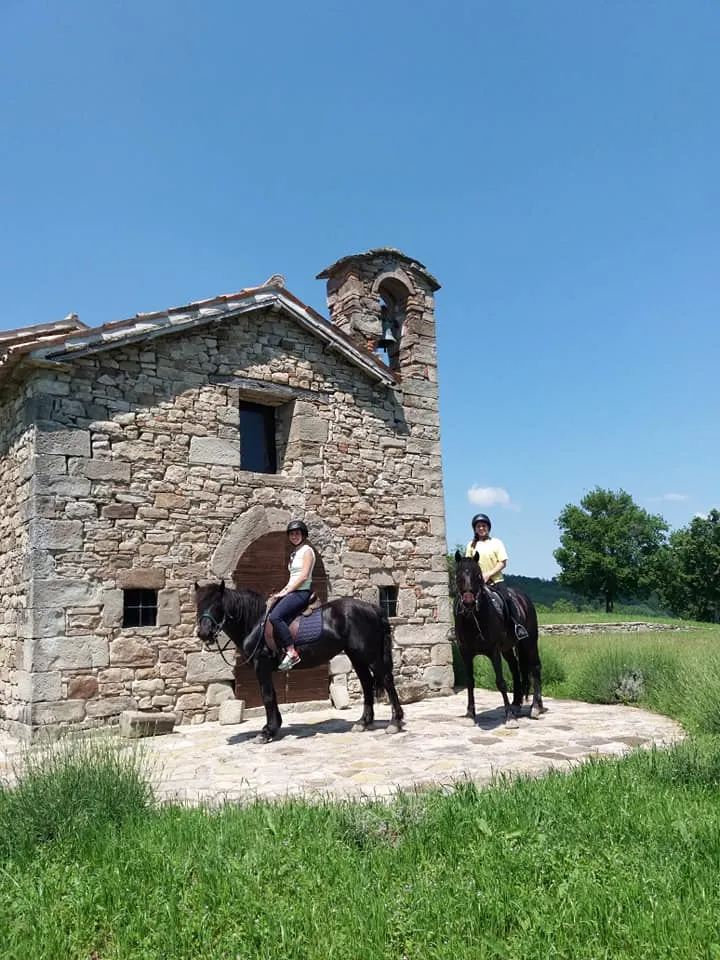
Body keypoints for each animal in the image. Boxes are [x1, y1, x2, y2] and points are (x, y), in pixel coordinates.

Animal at [194, 580, 404, 743]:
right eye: (198, 604)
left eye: (217, 604)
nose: (204, 633)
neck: (255, 623)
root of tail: (374, 609)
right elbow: (273, 696)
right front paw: (274, 727)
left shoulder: (261, 666)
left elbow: (267, 696)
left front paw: (267, 732)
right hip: (357, 656)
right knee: (367, 683)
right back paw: (363, 722)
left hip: (370, 655)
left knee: (387, 680)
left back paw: (395, 723)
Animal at [453, 552, 544, 725]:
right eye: (458, 575)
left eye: (478, 575)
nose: (468, 602)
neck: (474, 618)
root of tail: (523, 597)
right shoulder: (465, 652)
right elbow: (470, 681)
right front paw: (470, 714)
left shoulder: (494, 650)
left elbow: (500, 681)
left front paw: (509, 717)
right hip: (508, 648)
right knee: (515, 669)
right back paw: (516, 705)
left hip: (529, 643)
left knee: (535, 668)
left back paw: (536, 707)